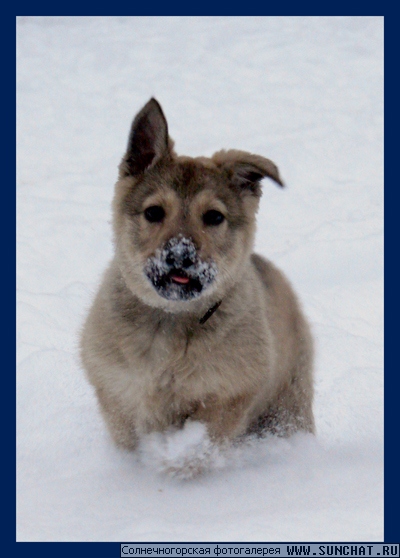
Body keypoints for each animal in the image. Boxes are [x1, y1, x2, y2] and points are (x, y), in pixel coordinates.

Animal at [79, 99, 314, 464]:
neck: (170, 322)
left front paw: (174, 462)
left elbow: (198, 445)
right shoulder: (117, 390)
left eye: (214, 217)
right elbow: (128, 434)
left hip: (289, 402)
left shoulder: (229, 392)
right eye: (153, 212)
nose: (180, 254)